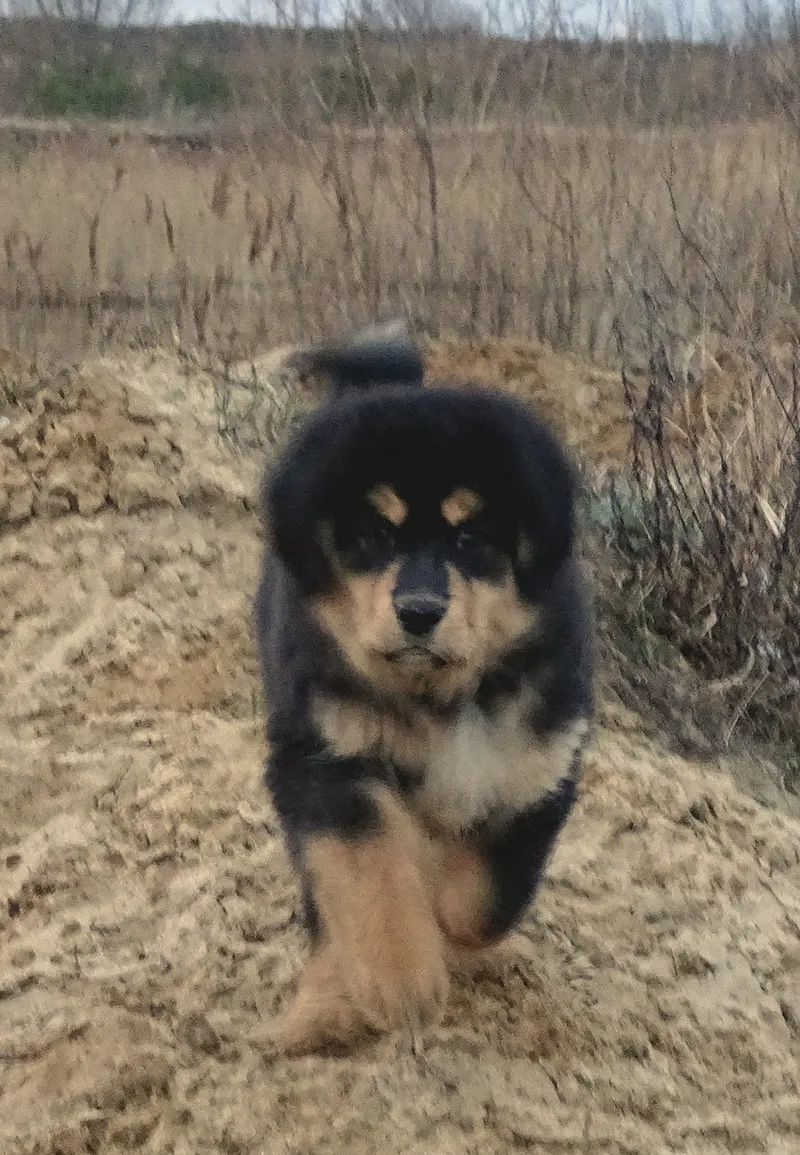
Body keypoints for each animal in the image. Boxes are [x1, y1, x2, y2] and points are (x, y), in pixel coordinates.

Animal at [254, 325, 595, 1053]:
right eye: (375, 533)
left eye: (471, 537)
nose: (417, 610)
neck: (444, 698)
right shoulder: (329, 761)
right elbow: (369, 874)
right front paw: (400, 980)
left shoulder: (536, 767)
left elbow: (485, 895)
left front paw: (461, 943)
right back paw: (323, 1011)